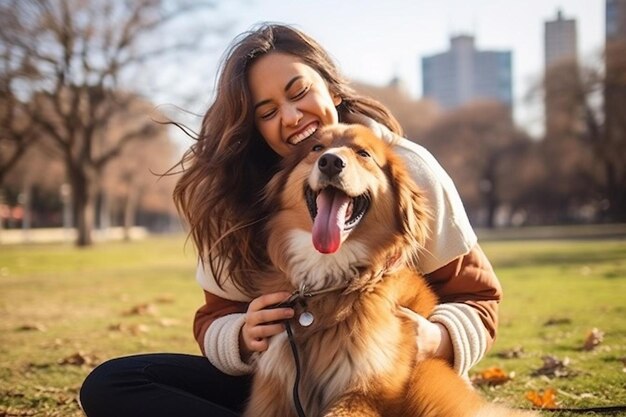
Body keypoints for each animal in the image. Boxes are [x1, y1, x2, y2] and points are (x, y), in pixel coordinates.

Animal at [241, 123, 532, 416]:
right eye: (316, 148)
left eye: (363, 153)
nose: (331, 162)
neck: (329, 279)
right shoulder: (272, 390)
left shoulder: (362, 393)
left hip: (426, 380)